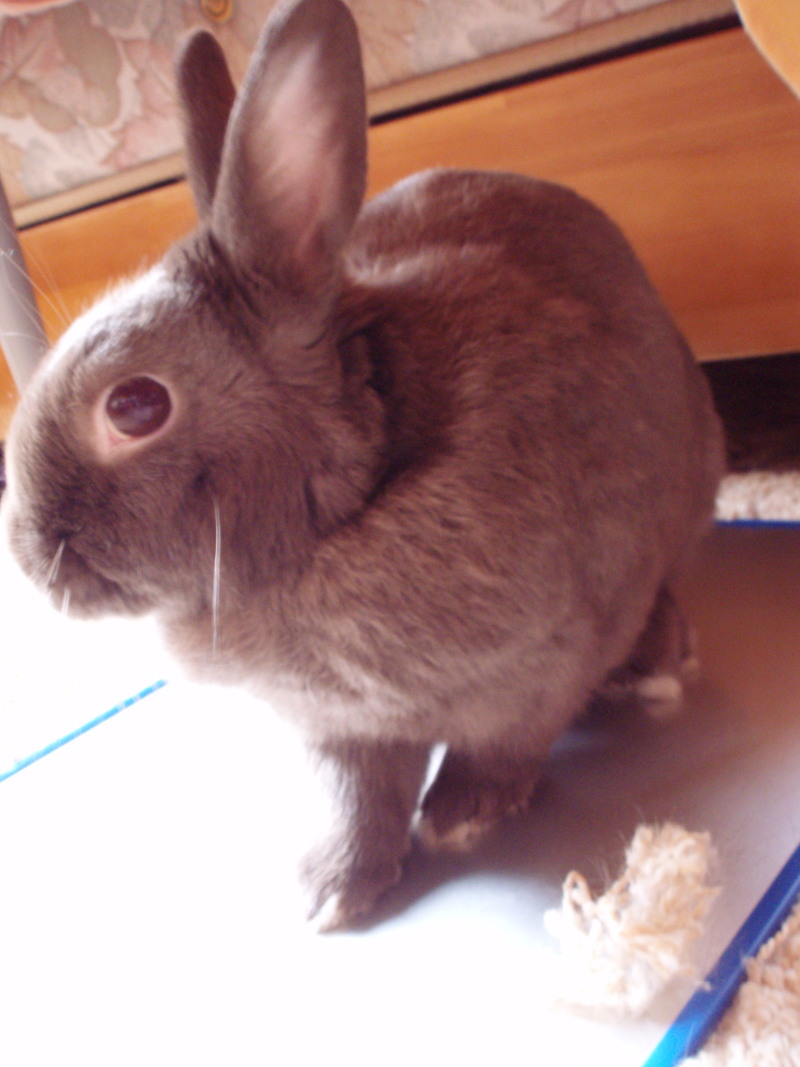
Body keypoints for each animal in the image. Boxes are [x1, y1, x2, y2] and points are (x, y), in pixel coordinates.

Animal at [1, 0, 724, 931]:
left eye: (133, 407)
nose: (28, 556)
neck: (348, 506)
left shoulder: (548, 662)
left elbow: (505, 742)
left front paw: (462, 816)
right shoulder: (341, 728)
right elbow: (358, 795)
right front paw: (332, 890)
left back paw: (659, 662)